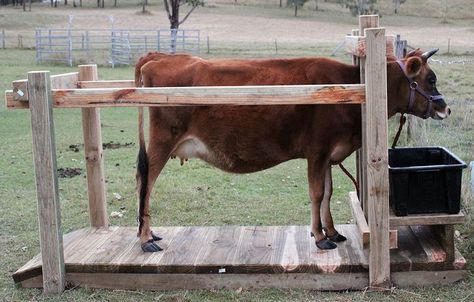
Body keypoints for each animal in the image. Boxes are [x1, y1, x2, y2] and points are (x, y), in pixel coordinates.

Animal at [132, 50, 448, 252]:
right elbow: (317, 193)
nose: (445, 107)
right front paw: (319, 236)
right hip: (161, 143)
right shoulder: (317, 150)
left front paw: (332, 231)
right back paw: (145, 238)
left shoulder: (328, 155)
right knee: (145, 185)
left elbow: (328, 193)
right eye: (431, 79)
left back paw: (149, 234)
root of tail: (158, 56)